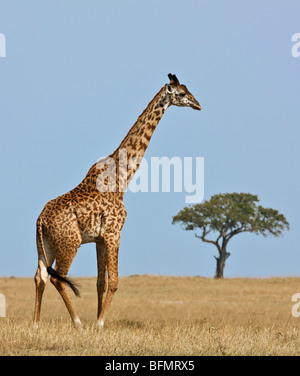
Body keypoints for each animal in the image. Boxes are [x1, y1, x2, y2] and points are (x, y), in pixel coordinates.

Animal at [33, 72, 202, 326]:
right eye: (182, 93)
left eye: (188, 90)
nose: (198, 105)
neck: (122, 179)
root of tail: (40, 221)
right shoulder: (114, 232)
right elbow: (114, 281)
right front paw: (99, 323)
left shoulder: (99, 238)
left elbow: (101, 282)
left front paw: (98, 319)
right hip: (70, 243)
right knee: (58, 278)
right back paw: (77, 323)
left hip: (46, 246)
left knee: (40, 276)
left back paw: (36, 322)